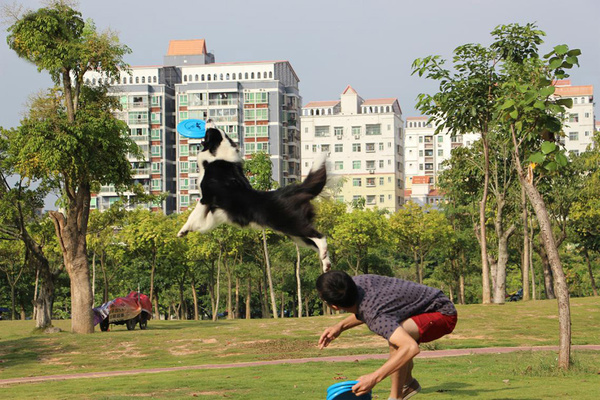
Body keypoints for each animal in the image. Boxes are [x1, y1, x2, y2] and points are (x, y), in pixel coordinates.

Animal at [177, 122, 332, 272]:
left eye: (210, 132)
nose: (207, 120)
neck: (218, 157)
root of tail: (293, 191)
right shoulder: (216, 210)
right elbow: (205, 220)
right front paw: (194, 229)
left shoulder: (206, 198)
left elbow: (193, 215)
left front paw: (182, 231)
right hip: (294, 234)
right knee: (314, 243)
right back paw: (326, 262)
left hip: (291, 223)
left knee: (319, 236)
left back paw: (324, 251)